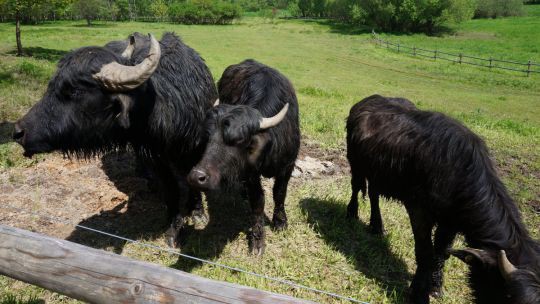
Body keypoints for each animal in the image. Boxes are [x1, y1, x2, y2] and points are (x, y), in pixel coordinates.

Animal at [12, 32, 217, 247]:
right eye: (52, 84)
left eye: (74, 91)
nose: (18, 131)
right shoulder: (155, 155)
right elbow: (171, 189)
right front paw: (173, 227)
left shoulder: (195, 147)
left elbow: (192, 180)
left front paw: (197, 212)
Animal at [188, 58, 302, 254]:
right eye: (207, 137)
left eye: (239, 140)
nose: (197, 177)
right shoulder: (250, 174)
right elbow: (258, 201)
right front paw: (257, 240)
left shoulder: (288, 165)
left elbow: (280, 193)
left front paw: (280, 222)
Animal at [346, 94, 540, 302]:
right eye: (509, 296)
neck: (457, 173)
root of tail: (367, 100)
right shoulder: (419, 211)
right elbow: (425, 252)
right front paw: (418, 292)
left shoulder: (450, 223)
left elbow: (441, 252)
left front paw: (435, 286)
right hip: (355, 162)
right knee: (356, 187)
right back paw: (352, 213)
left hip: (377, 174)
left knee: (374, 195)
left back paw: (376, 226)